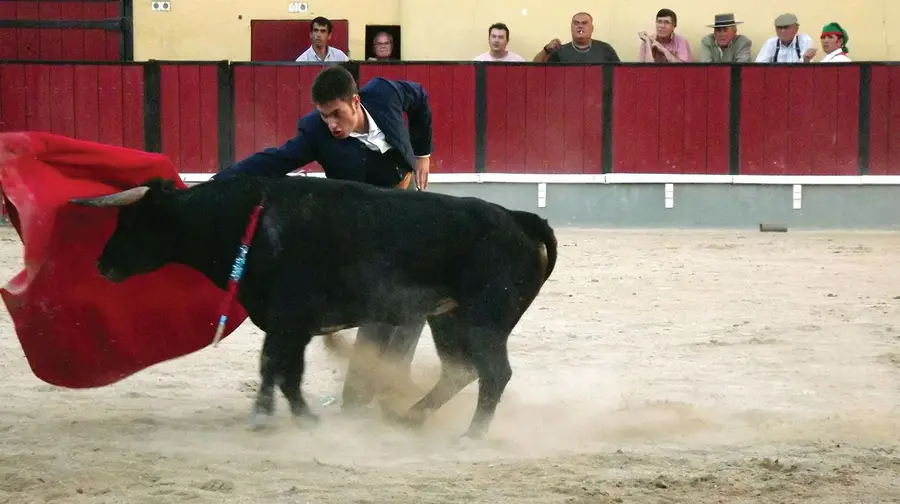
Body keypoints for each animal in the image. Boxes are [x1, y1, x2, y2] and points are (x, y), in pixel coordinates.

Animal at [70, 175, 560, 440]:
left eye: (132, 221)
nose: (101, 263)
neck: (249, 223)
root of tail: (519, 219)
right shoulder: (291, 325)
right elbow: (281, 368)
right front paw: (289, 416)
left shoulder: (289, 319)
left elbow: (278, 366)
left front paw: (276, 417)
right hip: (448, 318)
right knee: (460, 369)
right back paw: (409, 417)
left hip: (483, 320)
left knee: (494, 373)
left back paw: (470, 435)